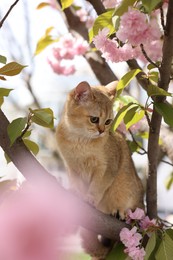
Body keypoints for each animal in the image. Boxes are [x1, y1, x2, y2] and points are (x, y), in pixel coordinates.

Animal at [56, 80, 144, 258]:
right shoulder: (71, 167)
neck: (79, 141)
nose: (102, 131)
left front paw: (90, 198)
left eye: (109, 121)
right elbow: (76, 183)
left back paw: (120, 212)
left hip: (131, 191)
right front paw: (76, 193)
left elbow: (97, 186)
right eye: (94, 119)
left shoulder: (107, 167)